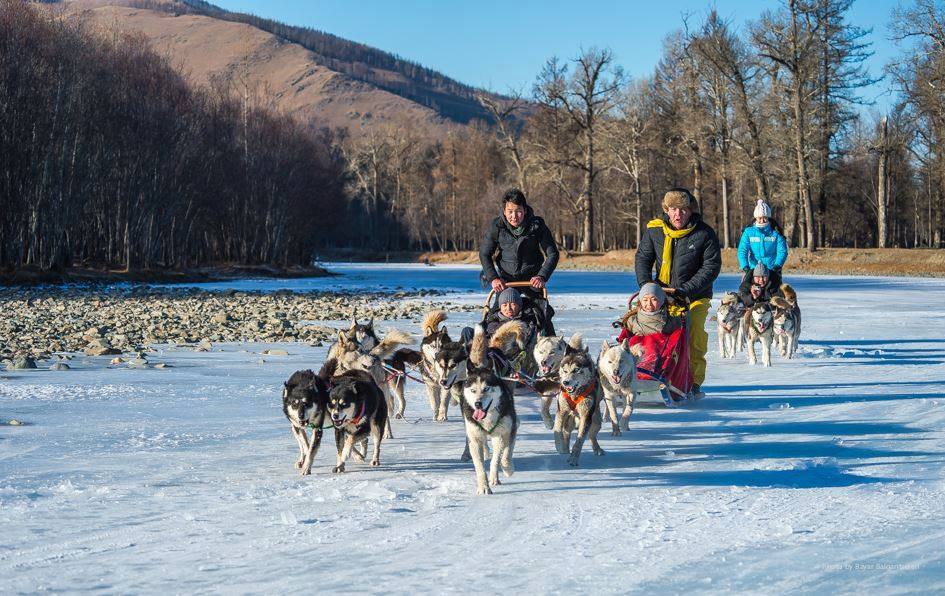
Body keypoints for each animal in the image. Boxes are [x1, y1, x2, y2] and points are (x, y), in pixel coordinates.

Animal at [458, 326, 516, 494]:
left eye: (486, 388)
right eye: (473, 390)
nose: (477, 404)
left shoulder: (504, 433)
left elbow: (500, 458)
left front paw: (504, 470)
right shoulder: (474, 438)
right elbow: (479, 466)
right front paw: (483, 486)